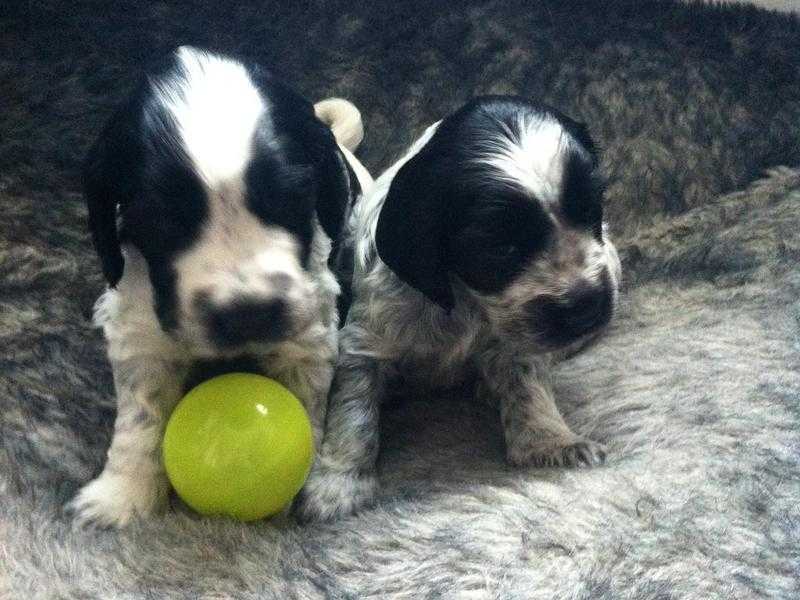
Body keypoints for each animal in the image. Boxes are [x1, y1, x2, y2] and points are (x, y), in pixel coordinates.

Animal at [69, 45, 372, 524]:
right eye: (162, 217)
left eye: (288, 197)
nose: (248, 312)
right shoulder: (141, 330)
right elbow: (141, 415)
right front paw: (123, 494)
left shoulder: (307, 330)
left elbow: (306, 401)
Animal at [296, 96, 620, 524]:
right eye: (500, 248)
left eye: (590, 209)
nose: (587, 304)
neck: (465, 299)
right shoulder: (364, 345)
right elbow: (353, 413)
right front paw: (337, 484)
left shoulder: (518, 341)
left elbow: (528, 383)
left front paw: (551, 441)